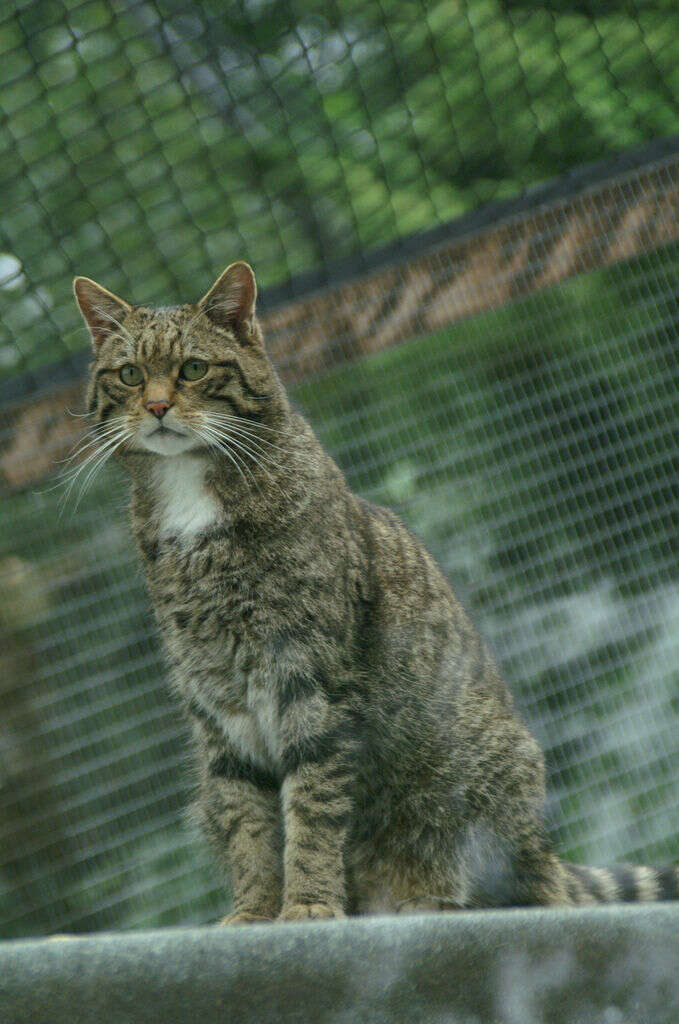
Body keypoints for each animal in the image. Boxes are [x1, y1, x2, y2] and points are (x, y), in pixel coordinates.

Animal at [73, 262, 679, 921]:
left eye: (192, 369)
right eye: (131, 374)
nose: (157, 406)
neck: (191, 502)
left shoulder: (313, 685)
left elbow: (311, 810)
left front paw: (308, 906)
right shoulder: (218, 709)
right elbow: (248, 825)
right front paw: (256, 912)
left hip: (483, 776)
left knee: (535, 891)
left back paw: (438, 901)